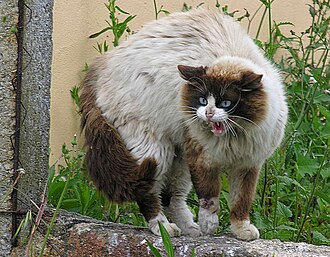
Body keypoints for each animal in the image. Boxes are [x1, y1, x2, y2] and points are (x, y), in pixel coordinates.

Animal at [79, 8, 286, 240]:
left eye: (225, 103)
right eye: (202, 100)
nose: (208, 113)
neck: (234, 136)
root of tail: (102, 64)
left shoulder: (247, 164)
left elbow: (241, 202)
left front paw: (241, 230)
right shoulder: (202, 157)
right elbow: (209, 197)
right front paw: (210, 225)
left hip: (178, 158)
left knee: (171, 197)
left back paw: (189, 230)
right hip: (156, 150)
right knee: (148, 194)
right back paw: (165, 229)